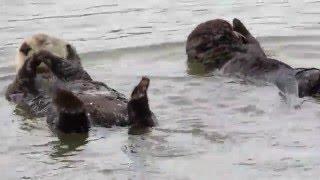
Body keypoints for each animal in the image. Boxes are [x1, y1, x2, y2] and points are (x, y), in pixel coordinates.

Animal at [6, 33, 157, 134]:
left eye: (45, 42)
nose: (24, 47)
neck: (47, 75)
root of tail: (110, 123)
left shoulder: (78, 73)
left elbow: (69, 68)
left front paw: (43, 54)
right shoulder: (16, 90)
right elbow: (21, 80)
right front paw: (31, 60)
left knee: (144, 118)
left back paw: (141, 90)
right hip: (64, 122)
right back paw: (67, 100)